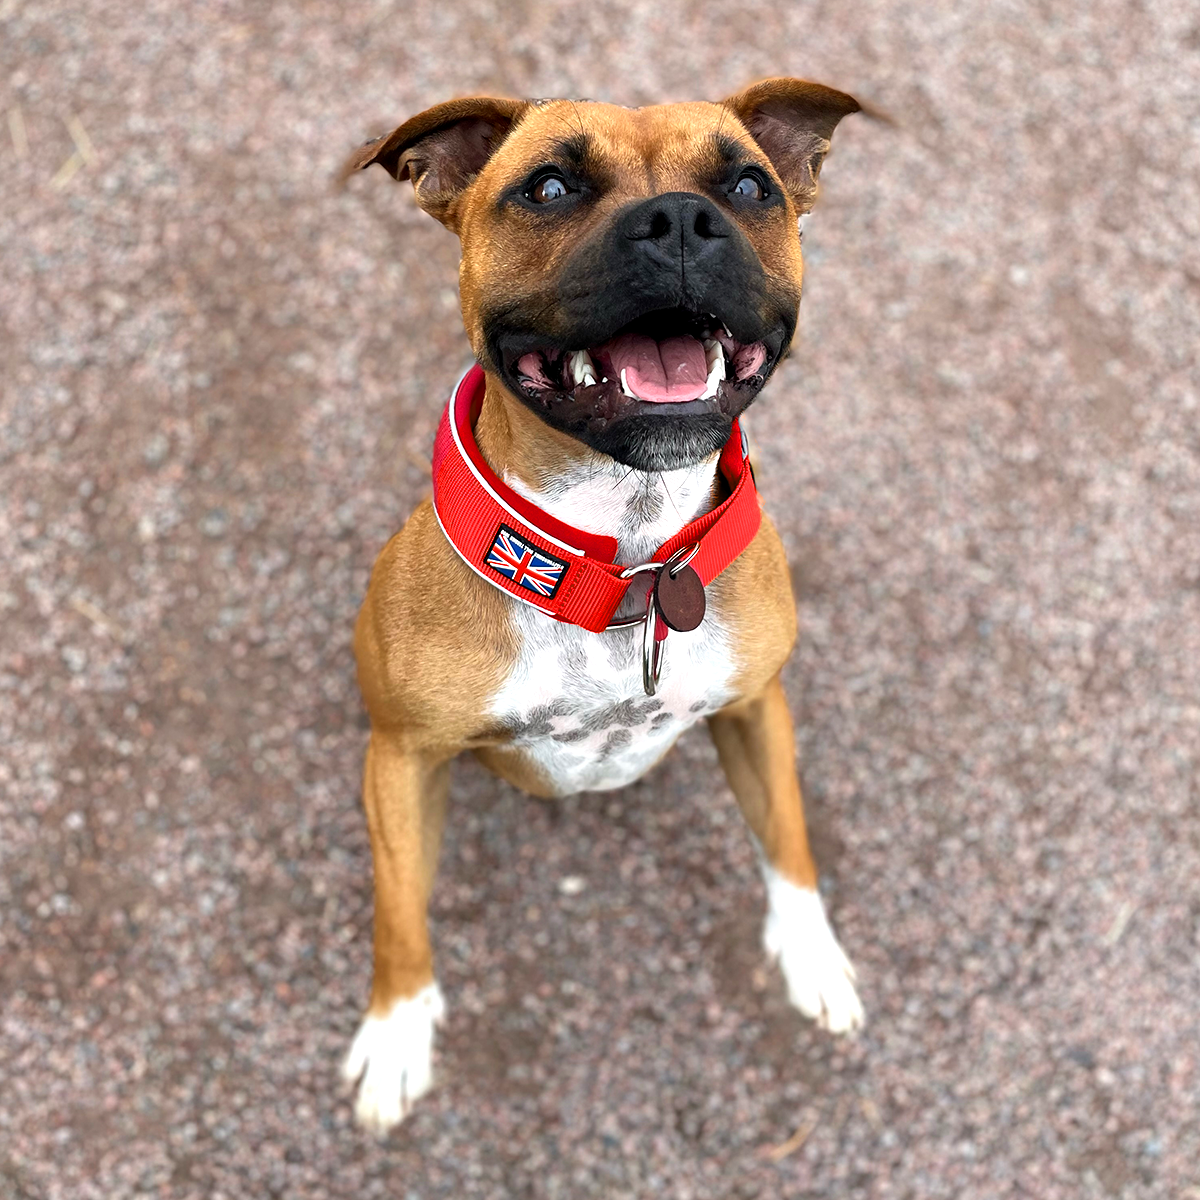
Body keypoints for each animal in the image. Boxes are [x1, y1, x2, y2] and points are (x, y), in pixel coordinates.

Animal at [338, 77, 864, 1132]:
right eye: (547, 187)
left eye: (749, 184)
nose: (681, 221)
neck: (624, 559)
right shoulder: (402, 758)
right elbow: (398, 904)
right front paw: (398, 1027)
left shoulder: (757, 706)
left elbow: (786, 833)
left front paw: (812, 952)